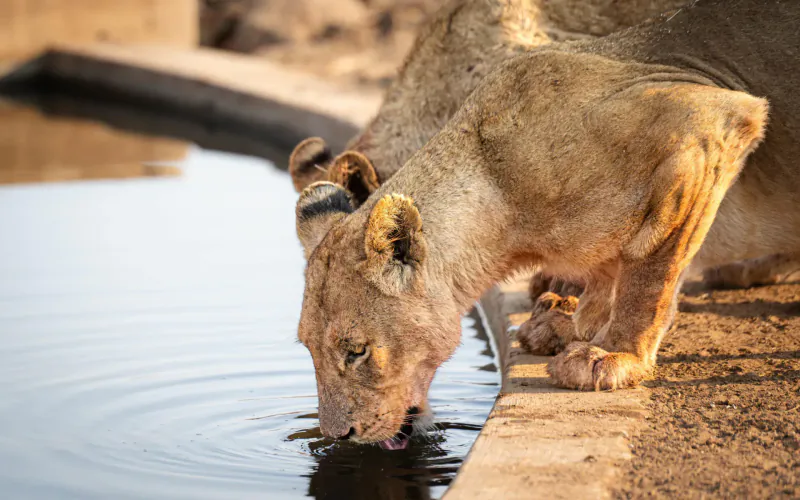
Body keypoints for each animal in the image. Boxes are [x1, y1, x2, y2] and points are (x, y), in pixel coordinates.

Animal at [295, 0, 800, 446]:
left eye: (356, 351)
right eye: (308, 348)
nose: (337, 436)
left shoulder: (706, 123)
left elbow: (650, 274)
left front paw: (613, 353)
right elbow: (610, 275)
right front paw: (572, 326)